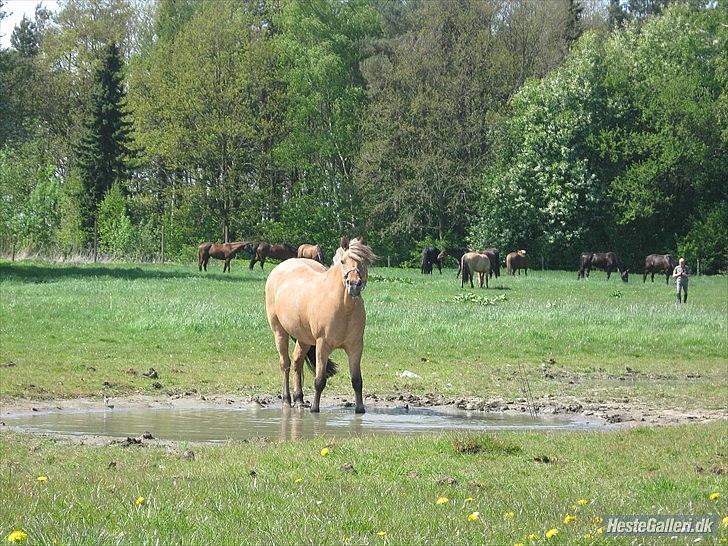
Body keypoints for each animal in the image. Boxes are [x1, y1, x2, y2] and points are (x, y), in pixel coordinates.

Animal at [265, 238, 376, 414]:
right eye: (343, 261)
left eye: (364, 261)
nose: (354, 284)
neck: (343, 307)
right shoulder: (322, 345)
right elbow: (319, 380)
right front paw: (314, 409)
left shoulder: (356, 346)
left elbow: (357, 380)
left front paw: (360, 409)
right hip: (279, 332)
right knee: (285, 364)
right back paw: (286, 400)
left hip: (303, 339)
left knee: (297, 362)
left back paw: (299, 399)